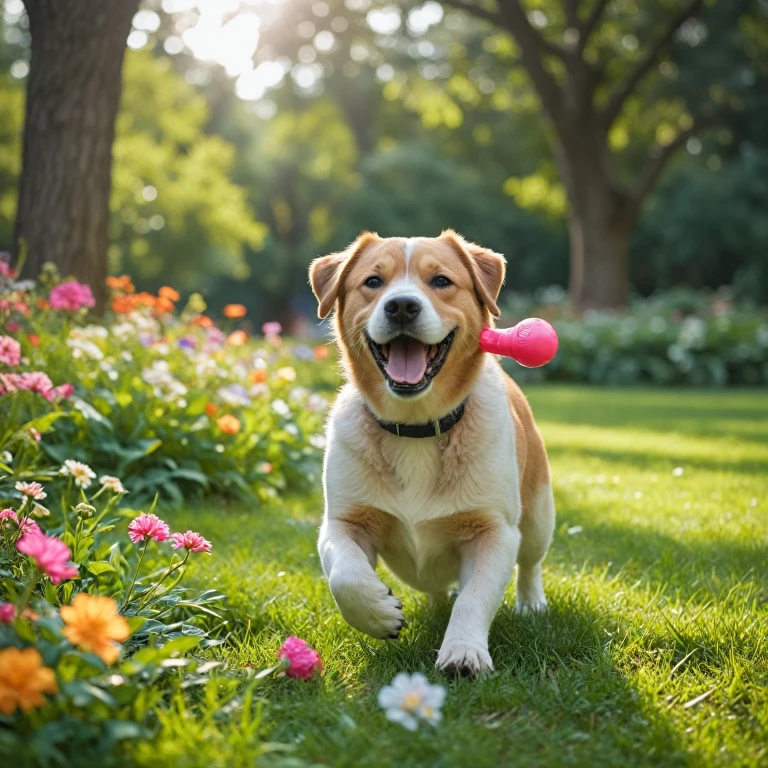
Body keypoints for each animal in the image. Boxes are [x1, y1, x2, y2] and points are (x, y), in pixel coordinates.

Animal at [308, 231, 556, 676]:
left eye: (440, 281)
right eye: (373, 281)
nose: (402, 306)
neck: (416, 429)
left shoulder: (494, 532)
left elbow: (475, 598)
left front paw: (463, 651)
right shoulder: (343, 521)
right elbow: (346, 576)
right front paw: (379, 614)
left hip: (539, 517)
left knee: (529, 564)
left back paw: (531, 605)